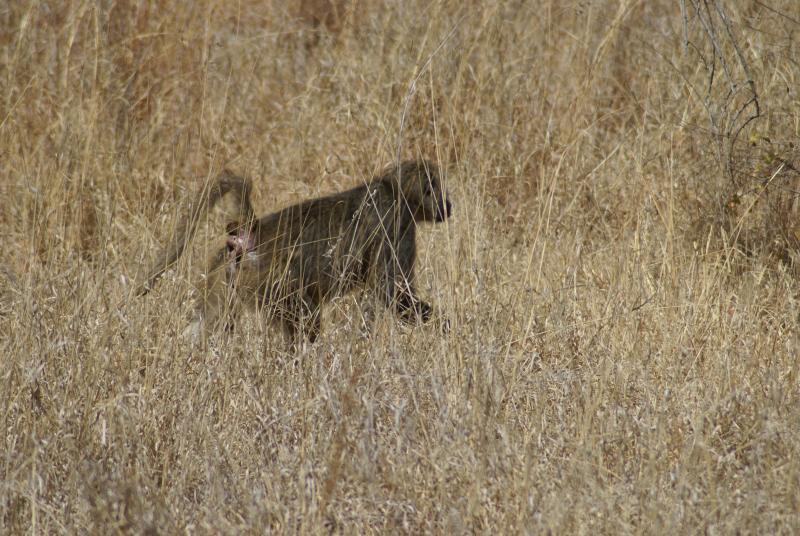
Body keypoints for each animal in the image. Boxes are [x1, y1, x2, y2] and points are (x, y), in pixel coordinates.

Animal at [137, 160, 452, 347]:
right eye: (434, 186)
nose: (448, 206)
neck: (394, 190)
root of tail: (253, 231)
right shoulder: (396, 225)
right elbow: (391, 291)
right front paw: (446, 326)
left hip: (225, 276)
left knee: (205, 324)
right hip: (274, 285)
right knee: (307, 322)